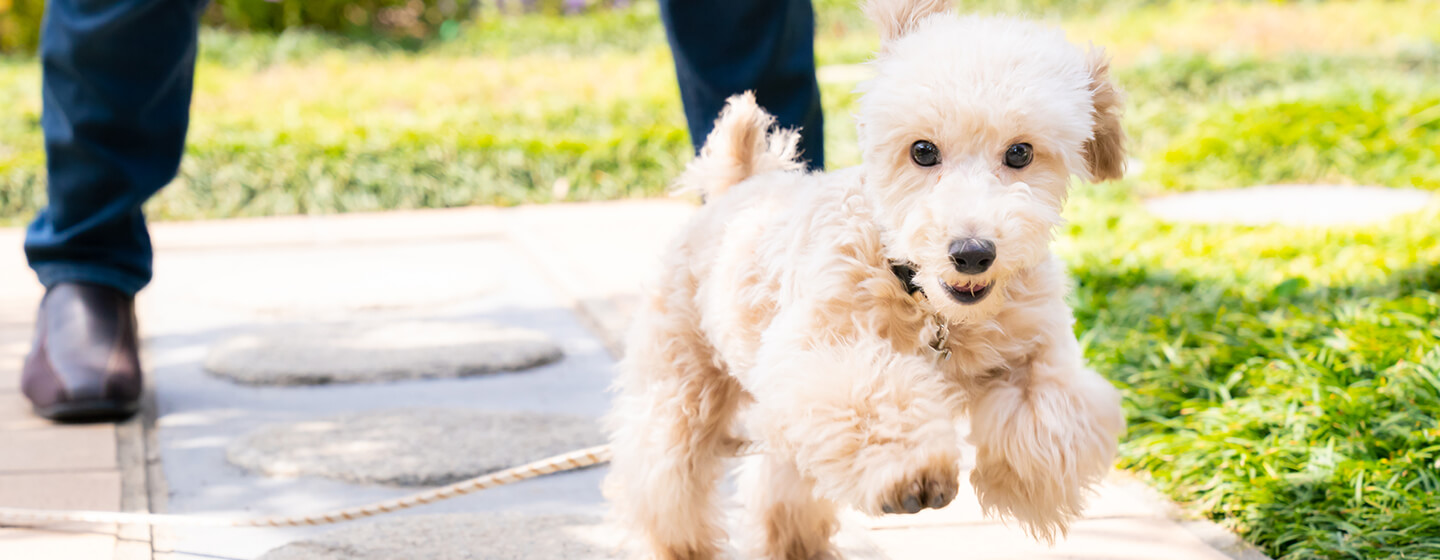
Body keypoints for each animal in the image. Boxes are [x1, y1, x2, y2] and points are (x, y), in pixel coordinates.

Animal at [601, 2, 1128, 555]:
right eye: (923, 150)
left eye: (1021, 153)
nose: (972, 254)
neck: (926, 304)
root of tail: (738, 185)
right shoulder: (820, 352)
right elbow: (869, 399)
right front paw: (915, 471)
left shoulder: (1035, 348)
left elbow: (1053, 411)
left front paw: (1024, 483)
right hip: (682, 385)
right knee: (665, 471)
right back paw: (681, 543)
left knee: (782, 481)